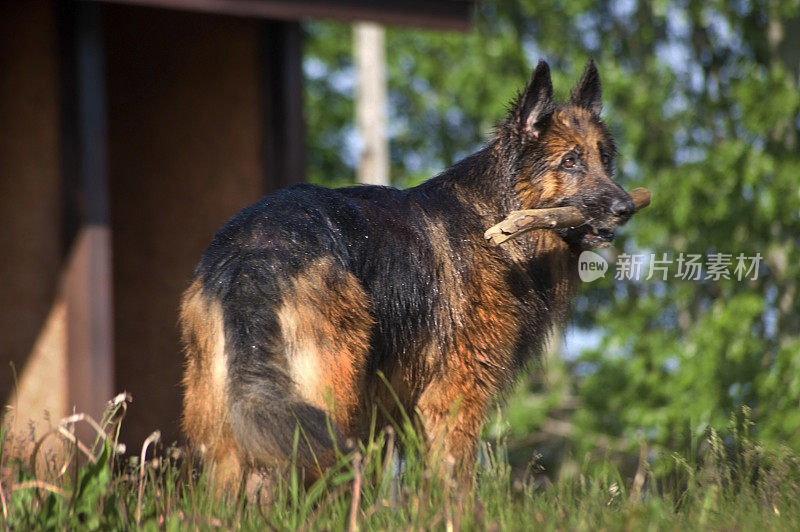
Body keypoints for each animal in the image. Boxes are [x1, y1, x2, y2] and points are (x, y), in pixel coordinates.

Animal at [181, 60, 636, 488]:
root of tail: (255, 249)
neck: (497, 217)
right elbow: (455, 486)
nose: (627, 207)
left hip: (229, 420)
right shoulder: (453, 399)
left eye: (605, 159)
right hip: (327, 399)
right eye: (570, 161)